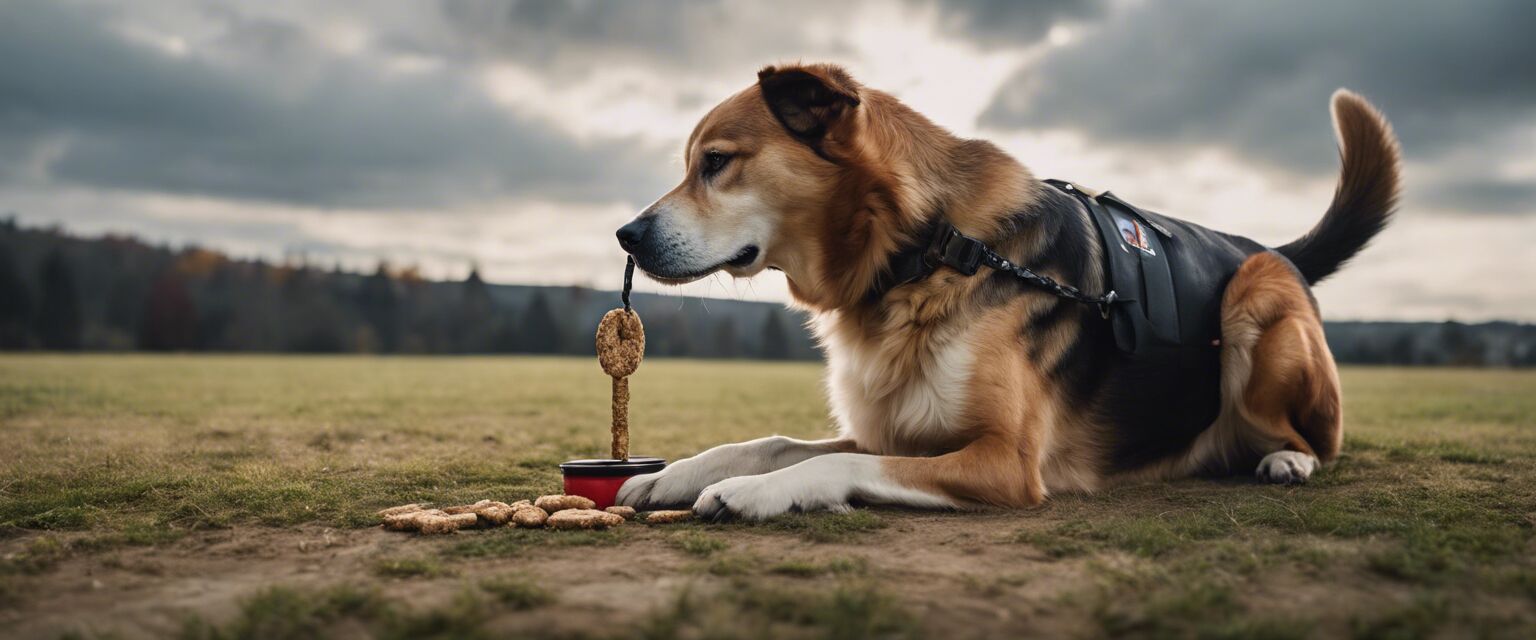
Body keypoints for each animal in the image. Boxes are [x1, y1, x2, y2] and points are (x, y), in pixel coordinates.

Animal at [608, 62, 1394, 518]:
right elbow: (770, 442)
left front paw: (753, 495)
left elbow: (835, 461)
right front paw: (675, 476)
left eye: (716, 163)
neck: (927, 249)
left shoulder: (1004, 463)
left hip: (1253, 300)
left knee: (1316, 438)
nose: (625, 234)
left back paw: (1287, 459)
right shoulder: (896, 430)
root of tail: (1272, 251)